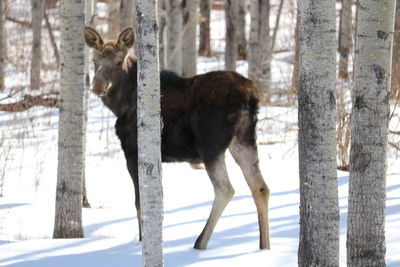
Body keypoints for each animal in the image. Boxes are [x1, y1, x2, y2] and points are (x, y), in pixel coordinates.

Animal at [84, 26, 272, 250]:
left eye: (118, 61)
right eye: (94, 60)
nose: (97, 86)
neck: (121, 104)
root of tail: (251, 95)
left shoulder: (133, 152)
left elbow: (140, 203)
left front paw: (142, 241)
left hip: (211, 145)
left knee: (225, 189)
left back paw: (200, 243)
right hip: (244, 139)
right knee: (260, 187)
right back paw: (264, 246)